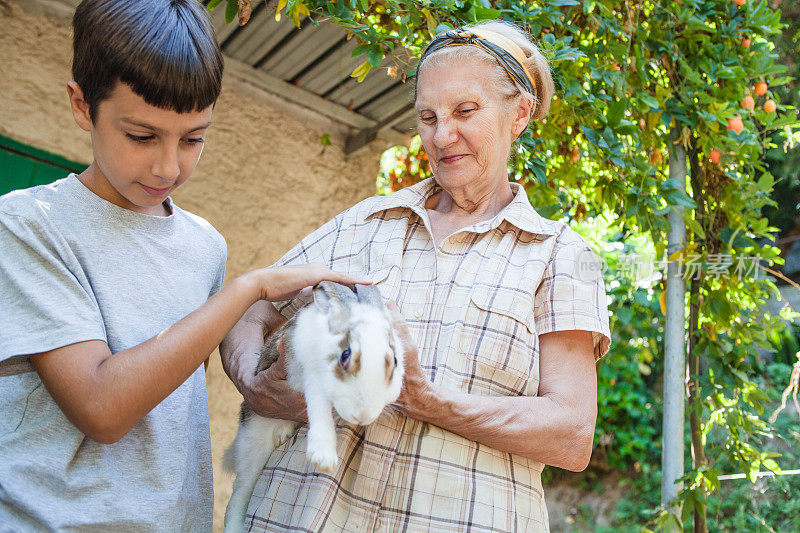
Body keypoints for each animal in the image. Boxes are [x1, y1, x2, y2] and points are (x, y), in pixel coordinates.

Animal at [222, 280, 404, 528]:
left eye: (393, 360)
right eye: (346, 355)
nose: (364, 415)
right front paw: (324, 457)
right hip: (252, 441)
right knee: (240, 493)